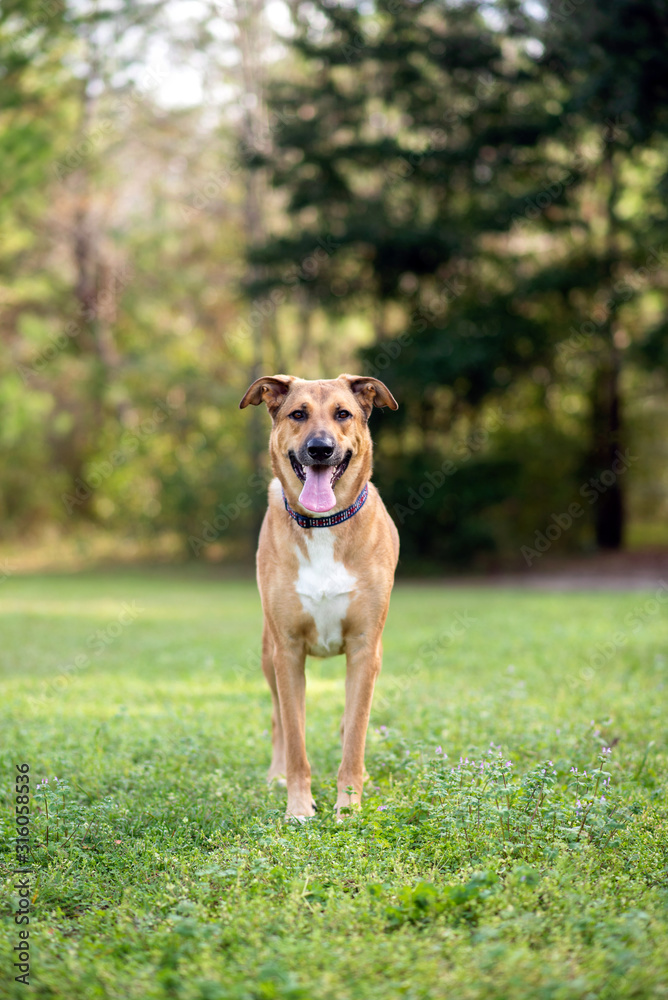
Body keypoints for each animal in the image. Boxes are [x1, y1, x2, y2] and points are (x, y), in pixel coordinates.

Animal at [239, 376, 400, 820]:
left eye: (343, 413)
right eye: (298, 414)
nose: (320, 449)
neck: (323, 524)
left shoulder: (365, 648)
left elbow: (355, 736)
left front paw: (349, 807)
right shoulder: (288, 651)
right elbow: (296, 740)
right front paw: (298, 808)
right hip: (267, 654)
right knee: (278, 719)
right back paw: (276, 775)